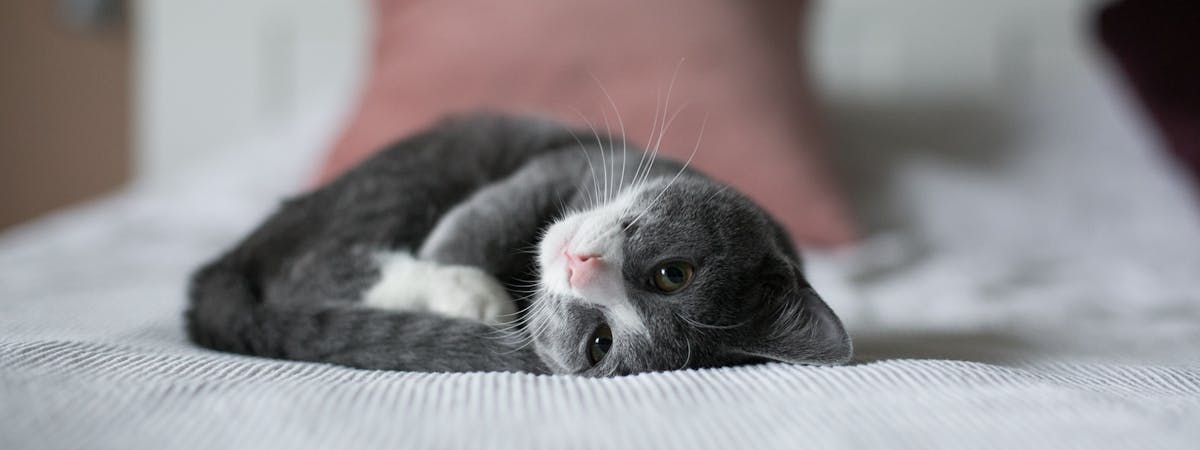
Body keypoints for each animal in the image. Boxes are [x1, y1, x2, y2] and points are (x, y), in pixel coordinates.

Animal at [187, 112, 854, 376]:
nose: (580, 266)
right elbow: (483, 220)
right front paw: (466, 281)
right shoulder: (564, 164)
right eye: (674, 273)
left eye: (600, 342)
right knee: (305, 269)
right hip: (419, 169)